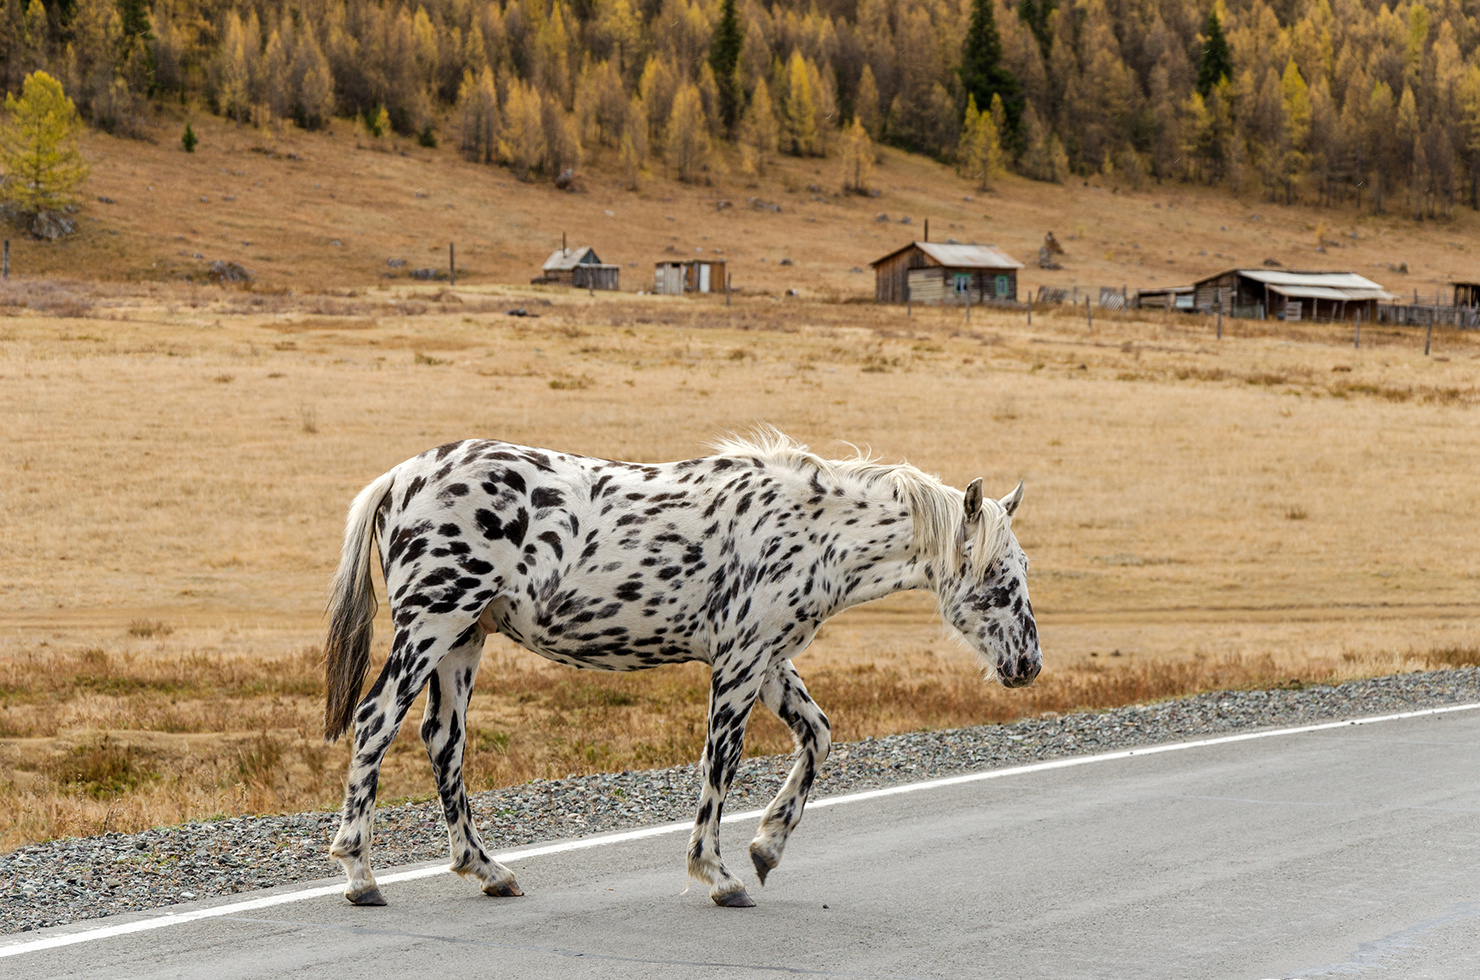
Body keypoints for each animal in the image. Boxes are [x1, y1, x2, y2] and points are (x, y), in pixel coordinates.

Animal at [322, 429, 1041, 908]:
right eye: (996, 577)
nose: (1028, 664)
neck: (812, 532)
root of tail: (402, 477)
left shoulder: (769, 660)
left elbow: (817, 737)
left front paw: (767, 848)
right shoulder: (740, 661)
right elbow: (720, 762)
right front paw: (718, 874)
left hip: (463, 641)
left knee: (444, 743)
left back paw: (488, 871)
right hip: (432, 627)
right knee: (376, 721)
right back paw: (359, 874)